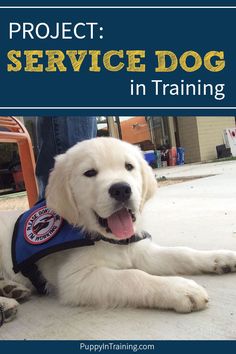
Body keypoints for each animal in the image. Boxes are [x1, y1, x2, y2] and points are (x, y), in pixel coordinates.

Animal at [0, 136, 236, 324]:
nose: (121, 189)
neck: (110, 240)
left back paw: (12, 291)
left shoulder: (141, 251)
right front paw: (181, 290)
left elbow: (181, 253)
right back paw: (6, 304)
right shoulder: (76, 279)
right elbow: (133, 276)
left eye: (128, 167)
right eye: (90, 173)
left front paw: (221, 258)